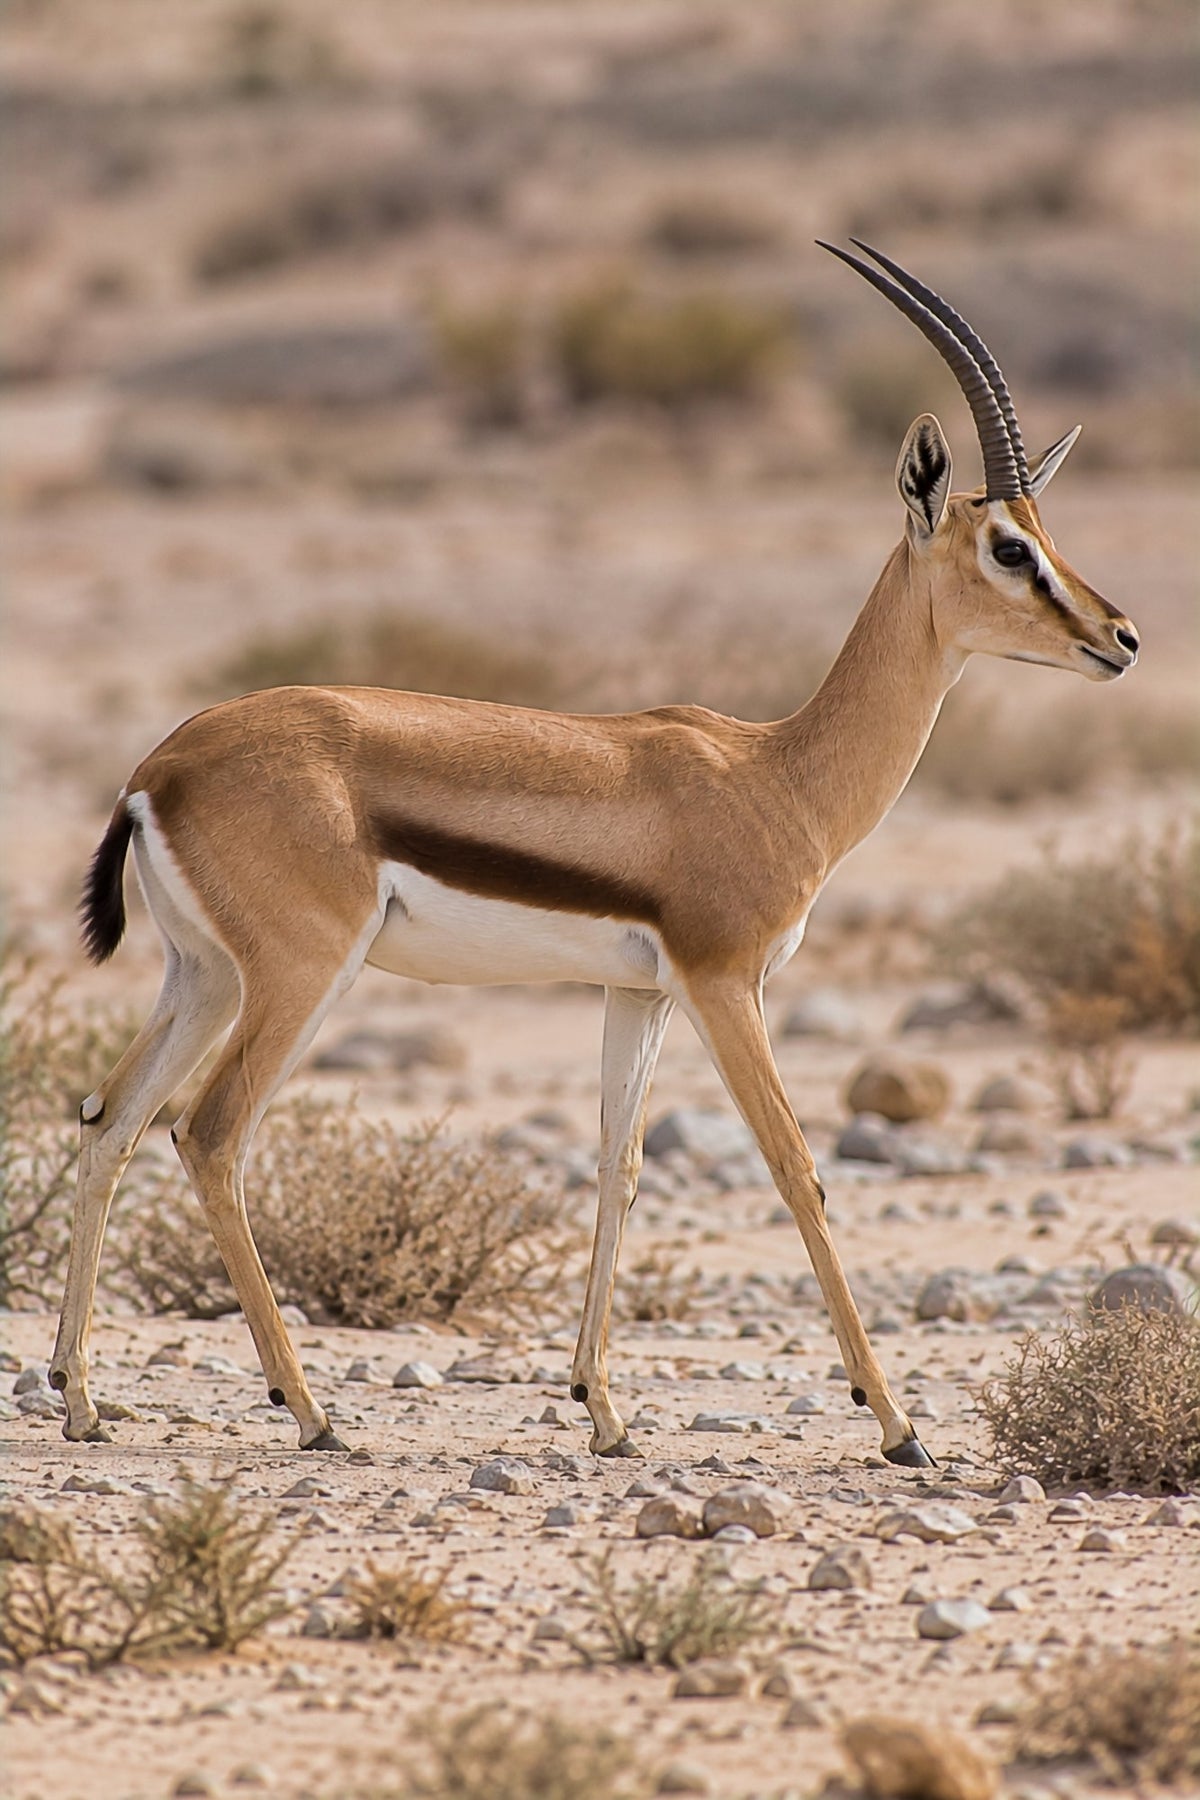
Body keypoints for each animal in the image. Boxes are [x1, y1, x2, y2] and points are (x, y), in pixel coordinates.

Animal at [52, 242, 1138, 1465]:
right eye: (1010, 547)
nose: (1122, 638)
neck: (778, 774)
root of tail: (159, 767)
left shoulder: (642, 995)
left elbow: (619, 1166)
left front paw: (605, 1412)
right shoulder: (726, 984)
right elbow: (795, 1166)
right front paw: (898, 1424)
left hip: (201, 977)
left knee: (110, 1120)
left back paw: (82, 1398)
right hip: (295, 978)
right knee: (209, 1133)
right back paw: (314, 1412)